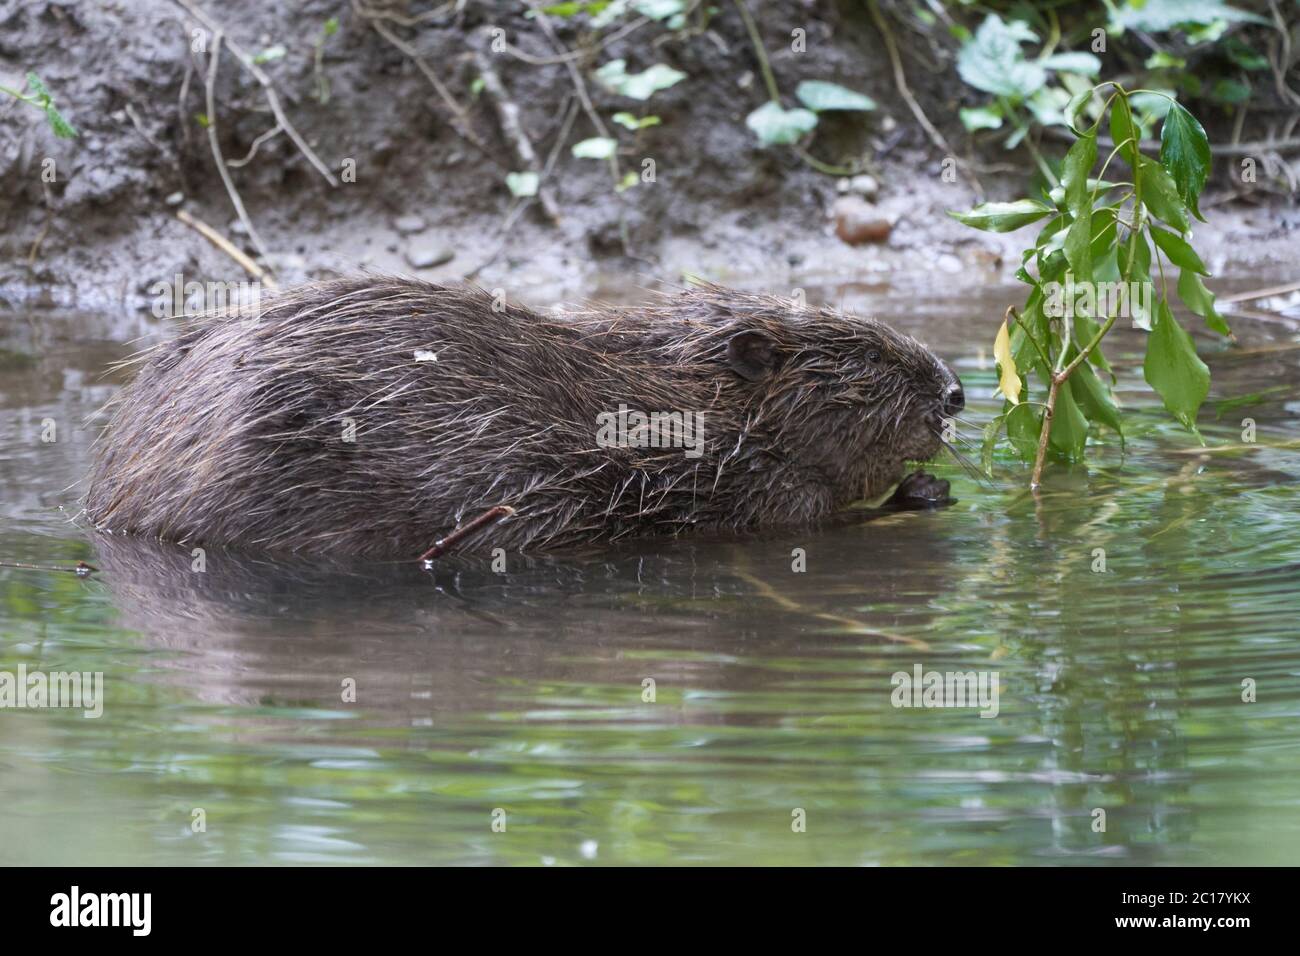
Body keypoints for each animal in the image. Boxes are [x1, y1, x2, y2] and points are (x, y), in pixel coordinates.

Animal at [83, 277, 967, 556]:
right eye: (875, 358)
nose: (958, 393)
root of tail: (107, 503)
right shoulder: (740, 483)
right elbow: (812, 517)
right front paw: (921, 493)